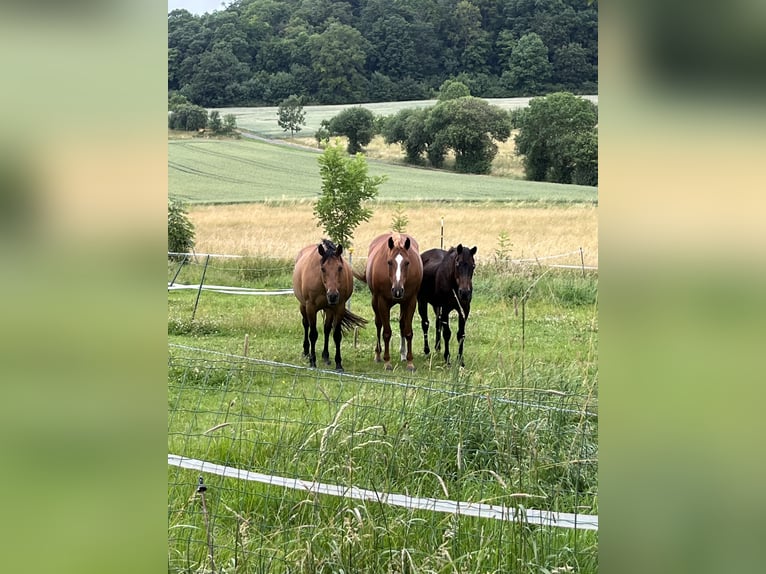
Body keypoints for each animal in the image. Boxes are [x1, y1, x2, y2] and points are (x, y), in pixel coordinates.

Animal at [292, 239, 367, 372]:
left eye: (340, 268)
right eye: (322, 269)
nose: (332, 296)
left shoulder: (339, 308)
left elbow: (336, 335)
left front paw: (338, 364)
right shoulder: (311, 308)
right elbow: (313, 334)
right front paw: (313, 361)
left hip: (329, 310)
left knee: (327, 329)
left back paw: (326, 356)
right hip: (303, 306)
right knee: (306, 325)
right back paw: (306, 352)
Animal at [354, 232, 423, 371]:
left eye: (407, 262)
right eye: (389, 262)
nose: (397, 291)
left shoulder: (411, 301)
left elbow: (408, 331)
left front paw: (410, 362)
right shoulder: (382, 302)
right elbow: (386, 332)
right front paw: (387, 362)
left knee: (402, 324)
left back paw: (403, 354)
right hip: (375, 302)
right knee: (378, 324)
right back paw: (378, 355)